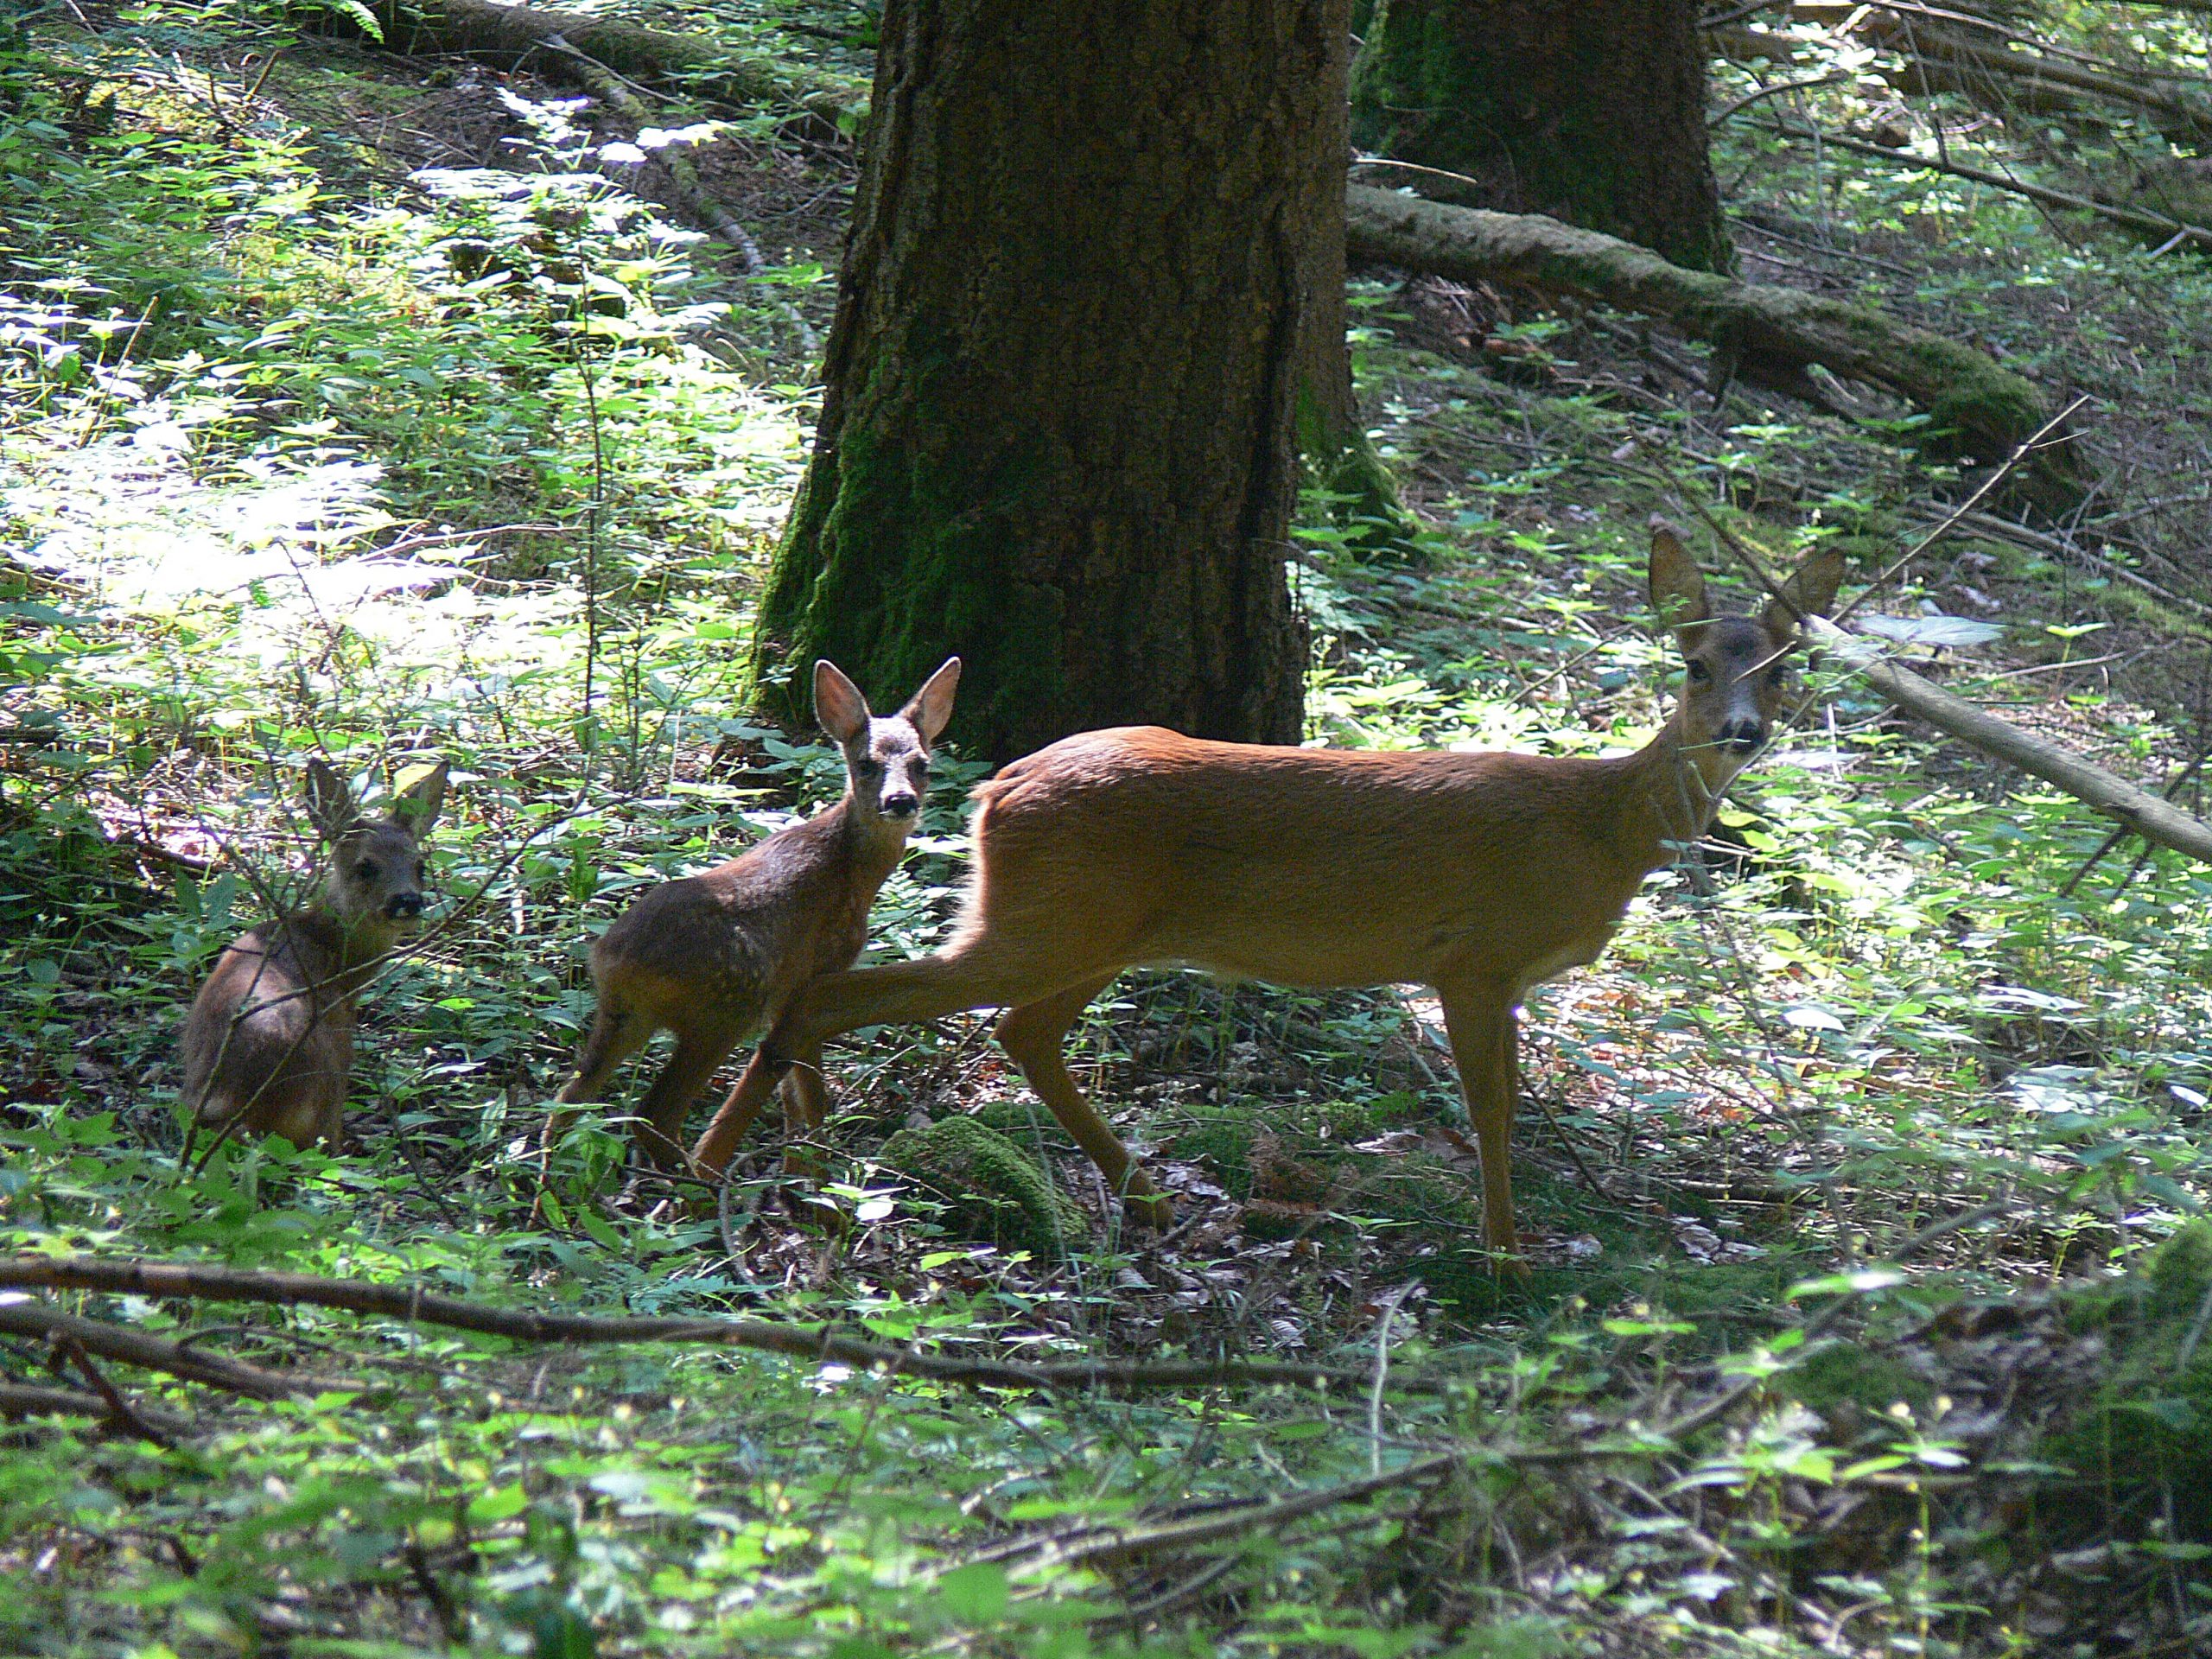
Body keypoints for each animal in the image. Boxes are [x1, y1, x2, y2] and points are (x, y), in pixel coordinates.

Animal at [181, 758, 449, 1152]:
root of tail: (238, 1098)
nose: (408, 900)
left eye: (420, 866)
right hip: (324, 1094)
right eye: (365, 866)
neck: (335, 955)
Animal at [544, 657, 962, 1175]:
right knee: (652, 1113)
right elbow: (809, 1087)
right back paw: (696, 1182)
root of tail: (611, 957)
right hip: (725, 1005)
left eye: (923, 765)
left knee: (568, 1099)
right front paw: (818, 1168)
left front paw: (801, 1168)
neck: (851, 870)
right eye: (865, 764)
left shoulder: (791, 991)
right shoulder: (813, 974)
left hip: (624, 1014)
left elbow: (790, 1095)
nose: (900, 801)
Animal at [686, 525, 1845, 1260]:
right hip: (1052, 917)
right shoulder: (1474, 957)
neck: (1599, 827)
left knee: (1016, 1030)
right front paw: (1506, 1255)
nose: (1743, 731)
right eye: (1695, 667)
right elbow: (1493, 1107)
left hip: (1091, 927)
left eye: (1783, 667)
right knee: (847, 994)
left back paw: (1134, 1194)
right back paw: (717, 1157)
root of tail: (994, 791)